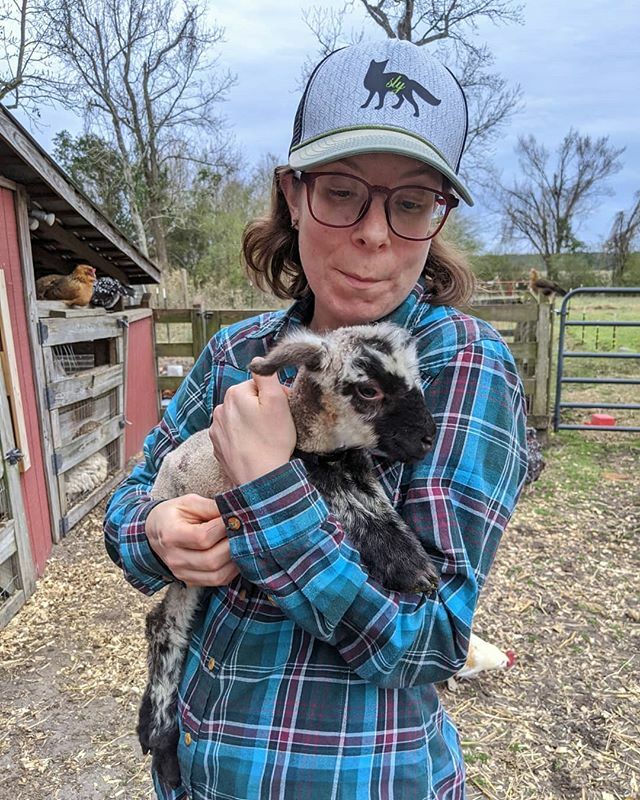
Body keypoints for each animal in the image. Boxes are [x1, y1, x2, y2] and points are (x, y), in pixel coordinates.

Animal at [138, 322, 441, 788]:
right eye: (368, 390)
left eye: (416, 380)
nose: (428, 438)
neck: (321, 446)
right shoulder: (314, 474)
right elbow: (357, 515)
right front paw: (413, 570)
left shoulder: (357, 469)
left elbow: (379, 509)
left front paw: (412, 560)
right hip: (182, 564)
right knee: (166, 627)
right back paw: (162, 745)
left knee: (166, 624)